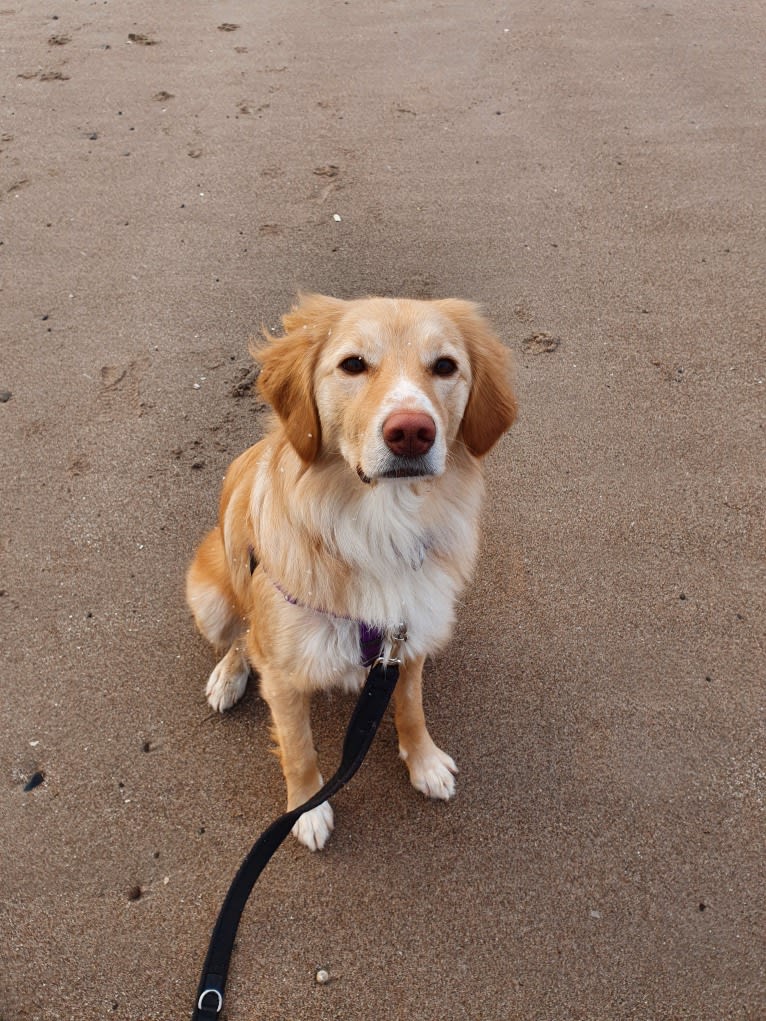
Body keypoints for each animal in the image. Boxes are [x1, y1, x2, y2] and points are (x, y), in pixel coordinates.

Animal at [187, 298, 518, 853]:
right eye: (353, 365)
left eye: (445, 366)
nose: (412, 431)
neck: (383, 525)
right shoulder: (283, 676)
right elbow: (298, 749)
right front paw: (307, 809)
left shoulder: (407, 635)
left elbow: (411, 708)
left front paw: (423, 761)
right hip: (210, 596)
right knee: (239, 637)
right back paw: (228, 677)